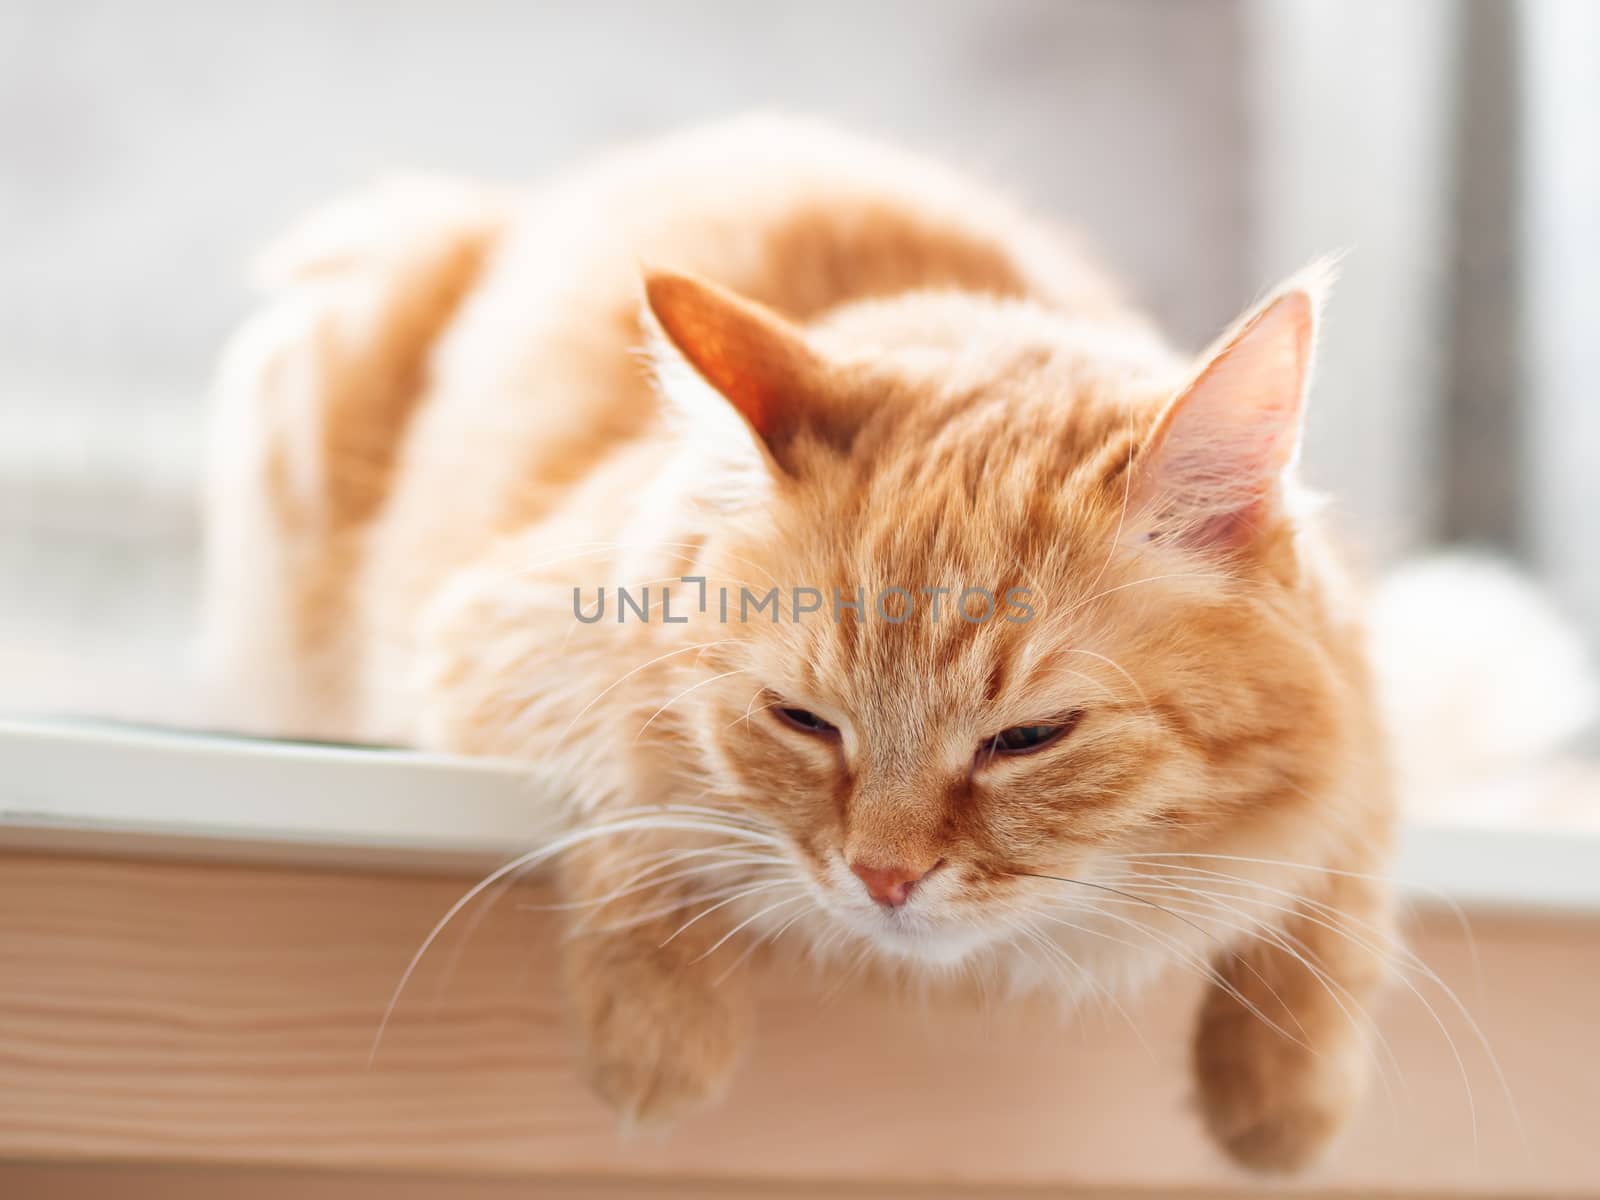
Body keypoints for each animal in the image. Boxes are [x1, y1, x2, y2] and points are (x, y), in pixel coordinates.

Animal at [209, 117, 1388, 1171]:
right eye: (805, 722)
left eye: (1028, 738)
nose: (884, 879)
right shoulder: (500, 635)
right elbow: (631, 790)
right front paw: (656, 1029)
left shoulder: (1361, 692)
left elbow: (1347, 865)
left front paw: (1287, 1097)